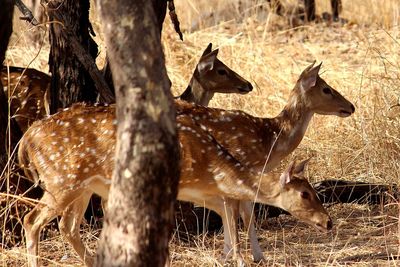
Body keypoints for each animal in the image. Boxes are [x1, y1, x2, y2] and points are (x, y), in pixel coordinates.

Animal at [18, 103, 332, 267]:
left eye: (315, 191)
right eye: (305, 194)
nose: (328, 222)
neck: (209, 164)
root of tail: (27, 138)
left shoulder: (201, 190)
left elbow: (227, 211)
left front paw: (233, 257)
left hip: (81, 186)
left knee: (67, 225)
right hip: (62, 179)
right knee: (31, 220)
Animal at [175, 60, 354, 262]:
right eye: (326, 89)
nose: (351, 106)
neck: (270, 142)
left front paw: (241, 256)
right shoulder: (239, 165)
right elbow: (241, 214)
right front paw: (241, 256)